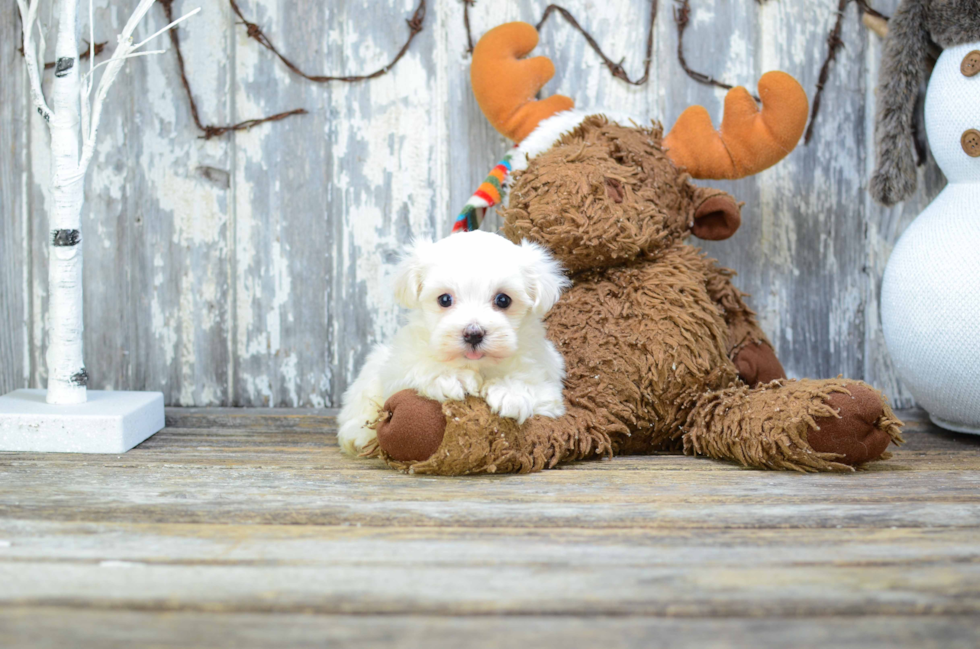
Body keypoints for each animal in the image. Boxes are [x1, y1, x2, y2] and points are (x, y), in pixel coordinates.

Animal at [336, 230, 572, 454]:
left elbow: (534, 386)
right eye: (444, 299)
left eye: (503, 300)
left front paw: (511, 392)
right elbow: (417, 368)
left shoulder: (549, 386)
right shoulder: (397, 368)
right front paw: (450, 376)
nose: (473, 333)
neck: (477, 365)